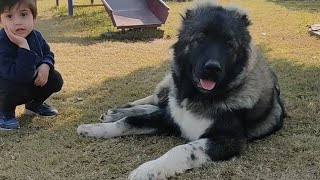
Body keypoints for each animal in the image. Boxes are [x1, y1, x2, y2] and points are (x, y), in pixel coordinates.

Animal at [77, 1, 284, 180]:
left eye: (229, 44)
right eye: (201, 39)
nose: (213, 68)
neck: (197, 97)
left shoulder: (227, 141)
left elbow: (181, 150)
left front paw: (149, 169)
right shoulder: (168, 117)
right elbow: (129, 121)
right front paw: (93, 129)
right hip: (167, 90)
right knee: (152, 101)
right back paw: (113, 113)